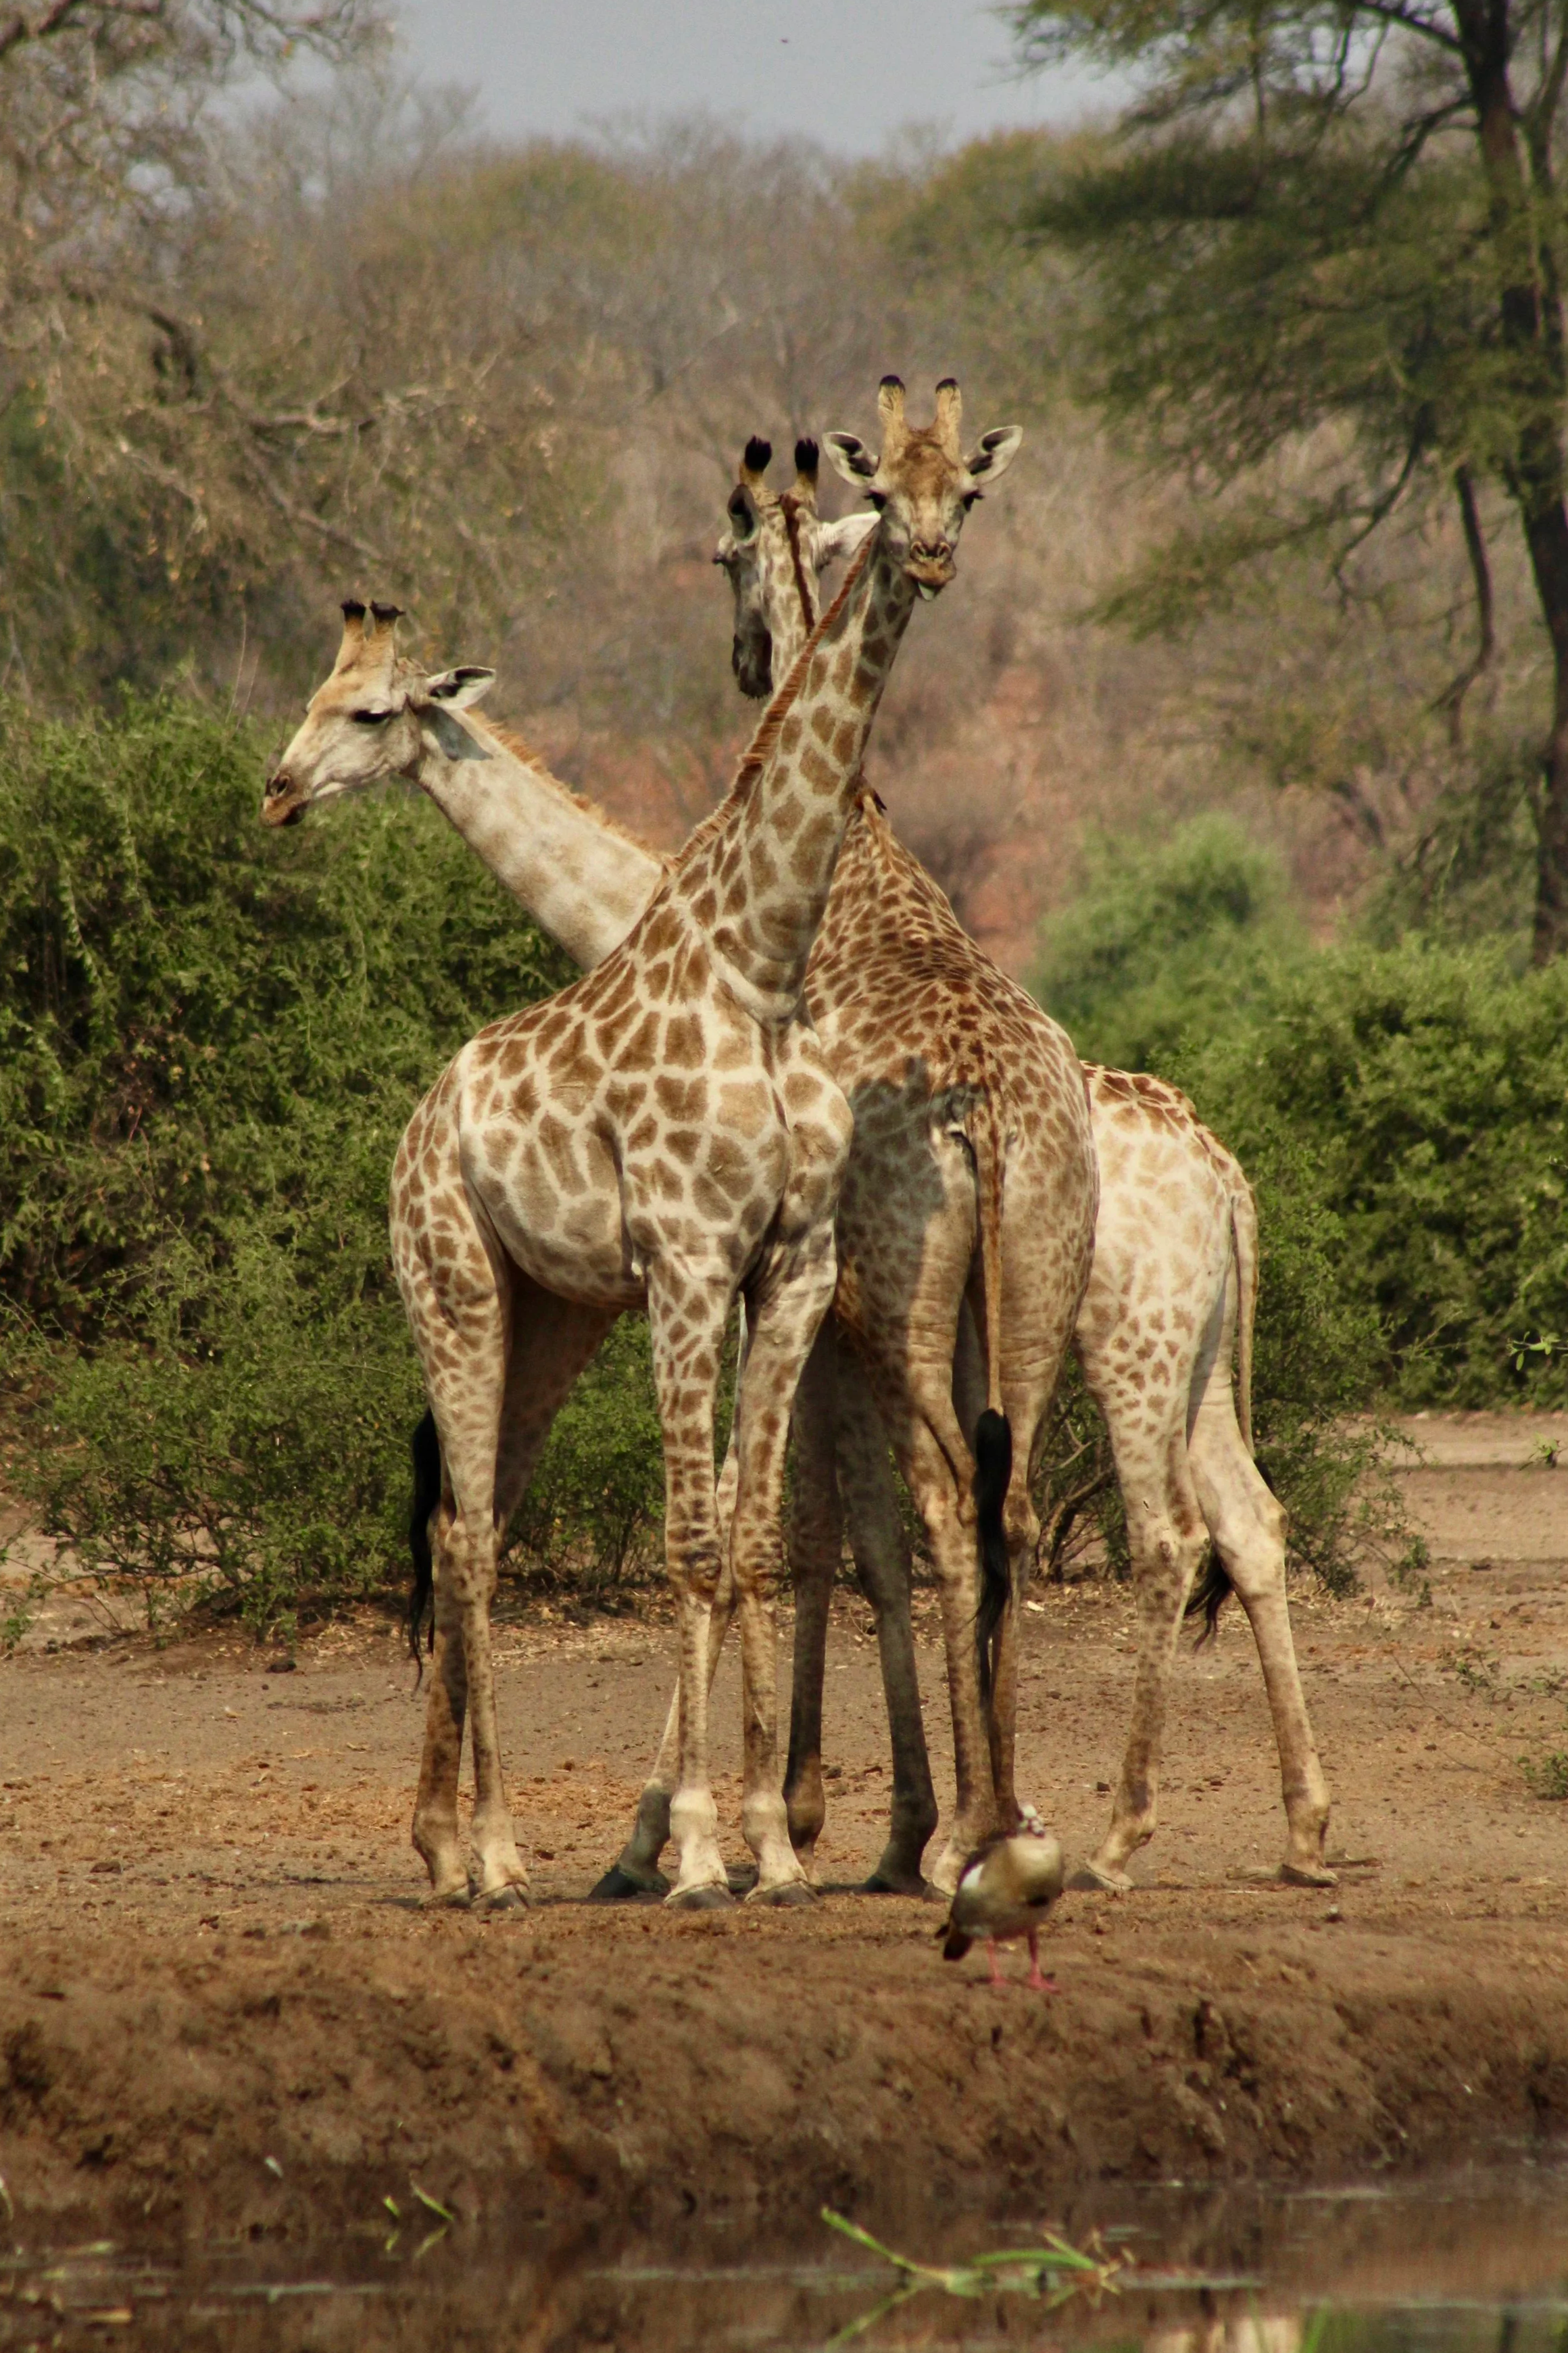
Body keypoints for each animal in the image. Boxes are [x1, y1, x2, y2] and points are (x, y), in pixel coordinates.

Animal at [260, 376, 1027, 1908]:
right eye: (884, 484)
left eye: (963, 488)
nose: (277, 788)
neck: (759, 957)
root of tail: (417, 1125)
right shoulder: (690, 1265)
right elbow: (704, 1542)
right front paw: (700, 1845)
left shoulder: (785, 1271)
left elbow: (748, 1540)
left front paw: (758, 1845)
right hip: (464, 1289)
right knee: (471, 1534)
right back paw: (491, 1855)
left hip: (600, 1313)